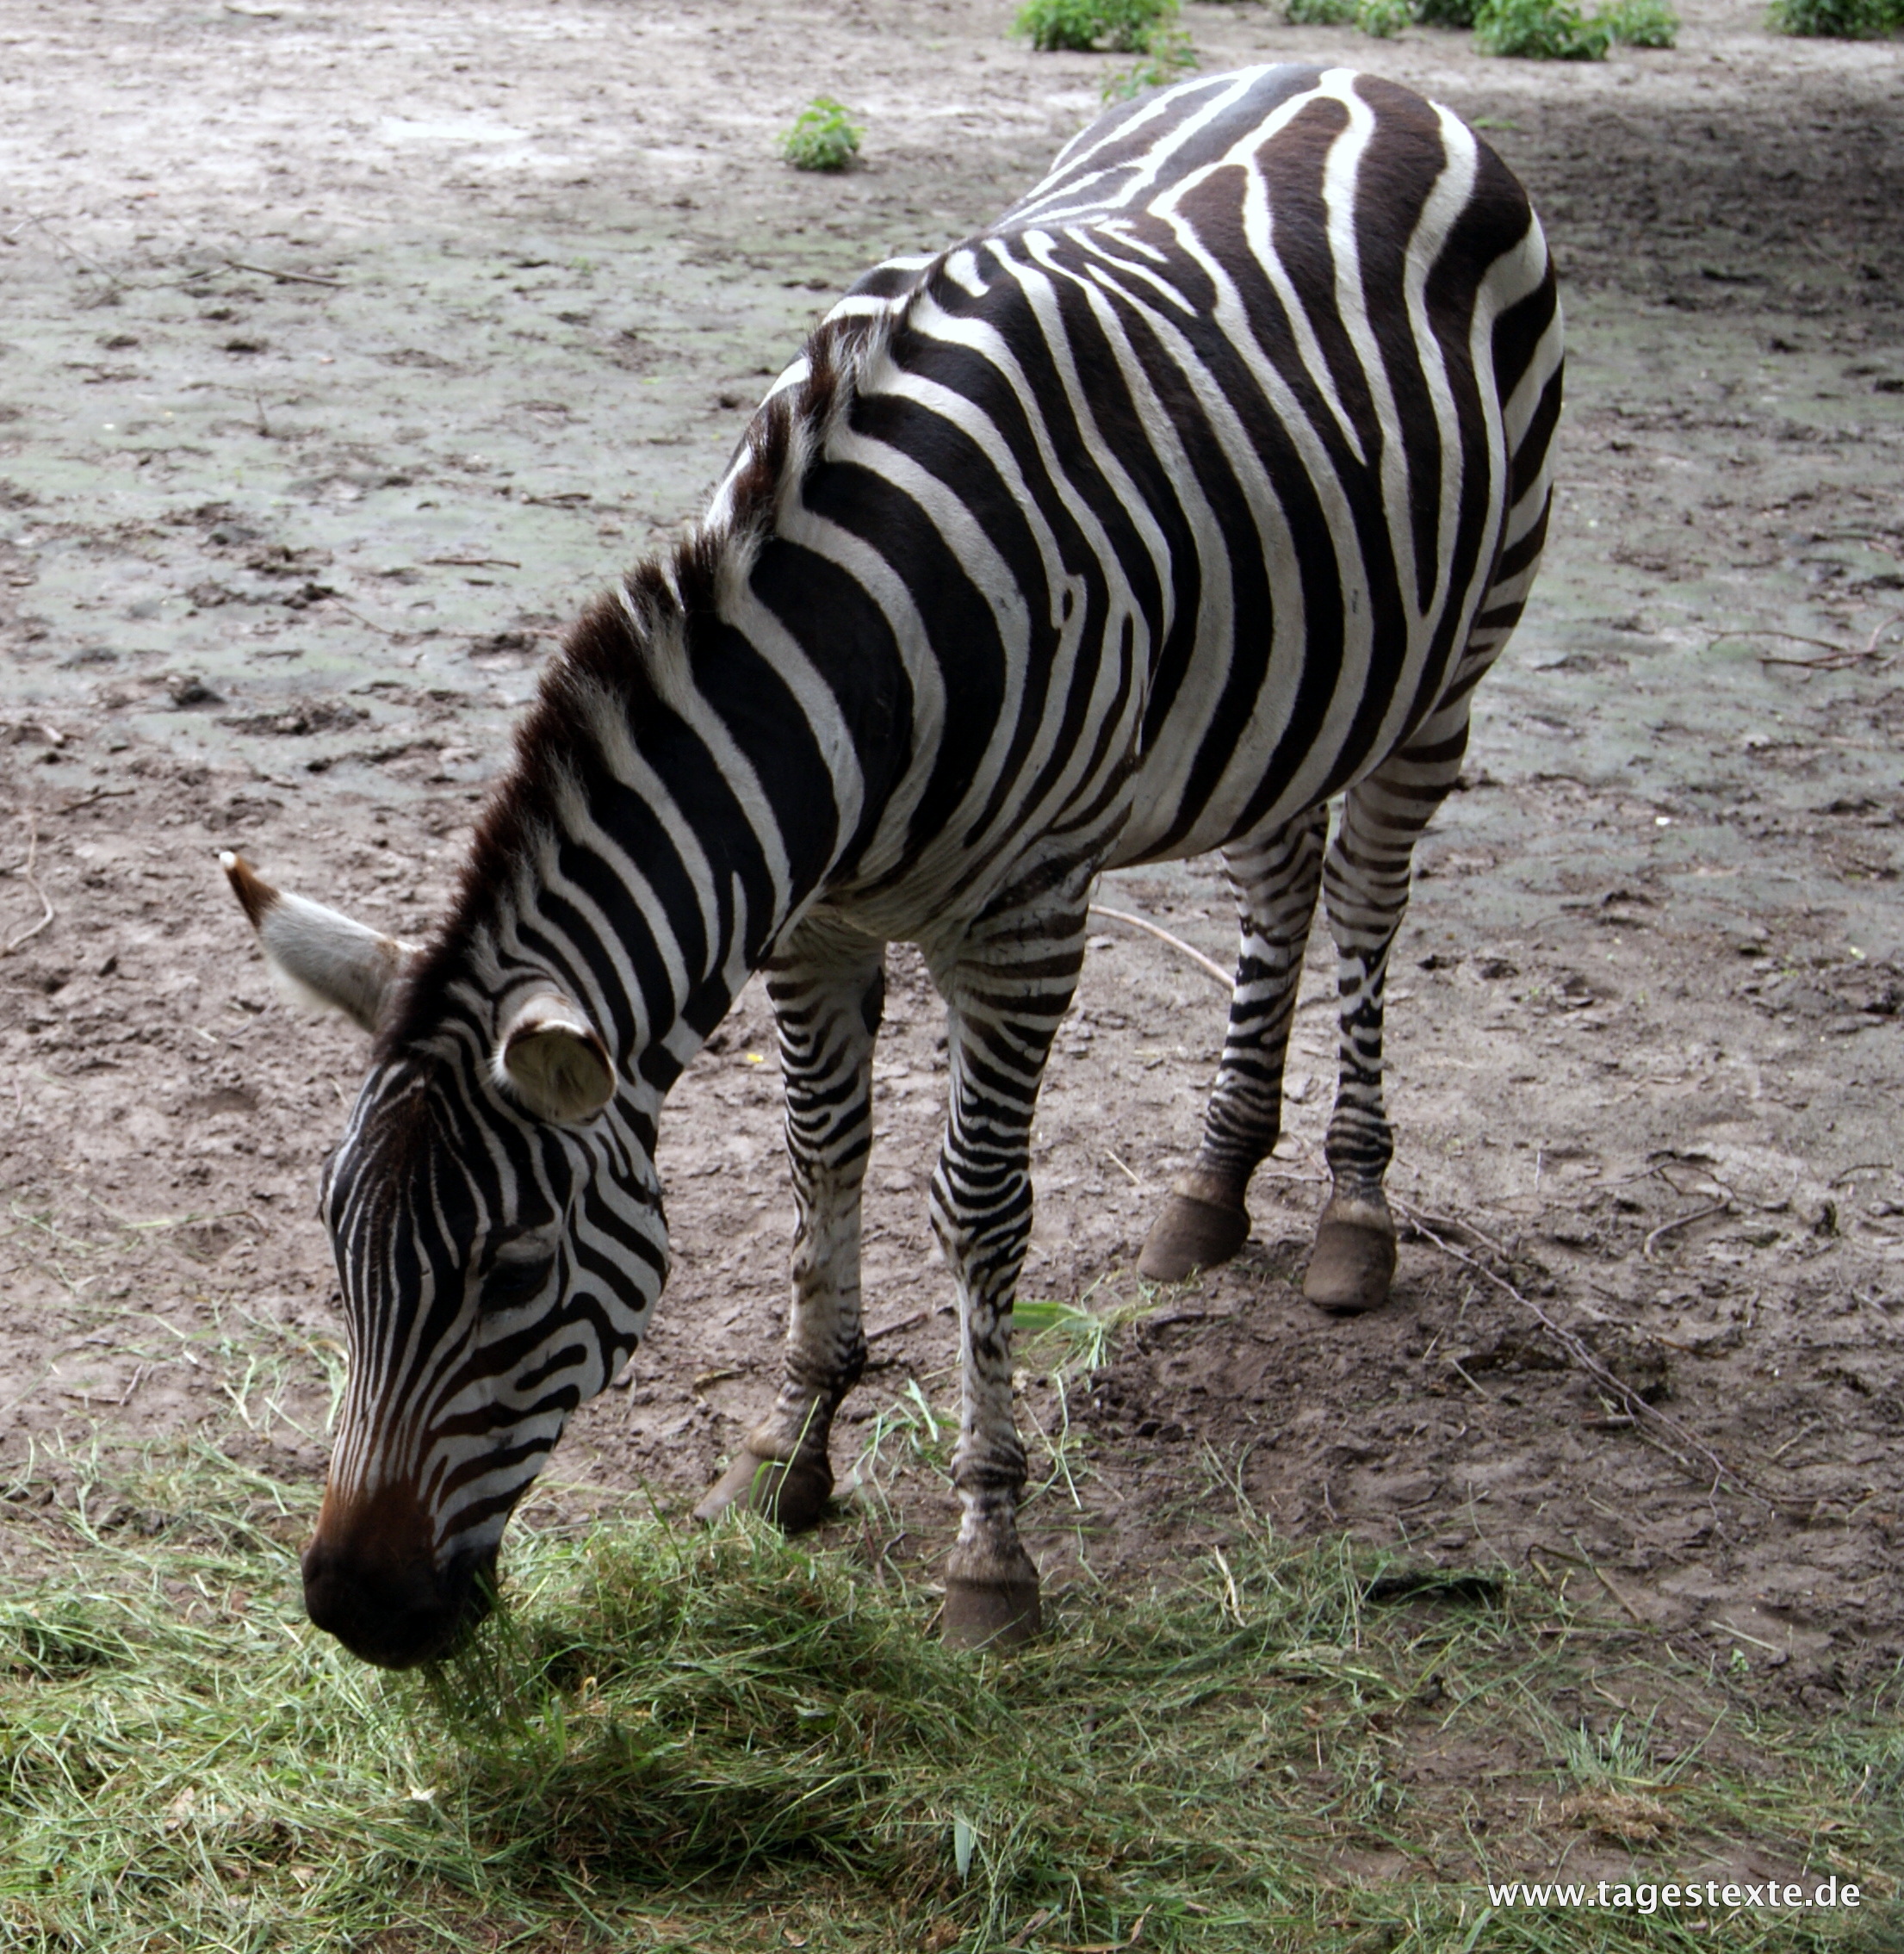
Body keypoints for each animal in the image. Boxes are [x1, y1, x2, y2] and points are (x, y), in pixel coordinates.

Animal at [223, 68, 1564, 1672]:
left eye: (517, 1268)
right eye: (336, 1244)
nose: (353, 1609)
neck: (861, 657)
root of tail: (1357, 77)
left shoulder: (1026, 924)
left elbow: (976, 1209)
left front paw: (989, 1546)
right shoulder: (811, 927)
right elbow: (823, 1161)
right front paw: (790, 1447)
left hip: (1445, 661)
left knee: (1364, 894)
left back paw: (1354, 1209)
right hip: (1287, 689)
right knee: (1281, 878)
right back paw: (1214, 1179)